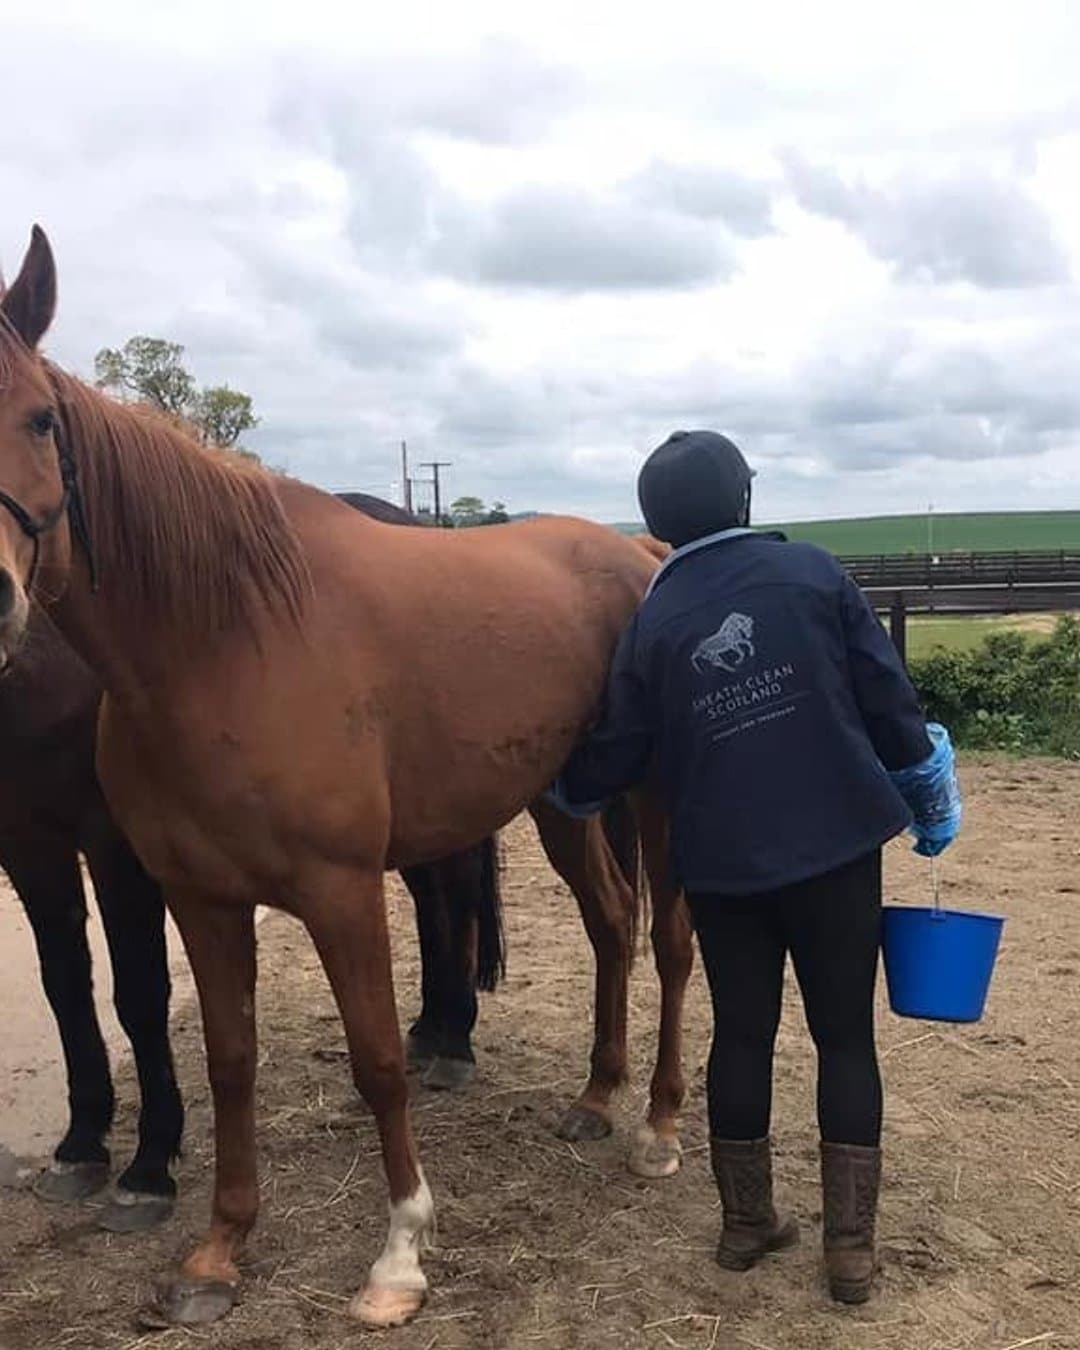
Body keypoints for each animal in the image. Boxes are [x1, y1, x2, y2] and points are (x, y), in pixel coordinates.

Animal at [0, 226, 691, 1330]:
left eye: (37, 417)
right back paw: (595, 1098)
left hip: (654, 800)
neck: (225, 638)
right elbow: (230, 1061)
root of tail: (645, 552)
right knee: (610, 920)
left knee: (668, 937)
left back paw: (660, 1126)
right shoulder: (200, 897)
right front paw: (219, 1252)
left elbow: (377, 1063)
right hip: (559, 802)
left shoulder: (339, 891)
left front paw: (400, 1257)